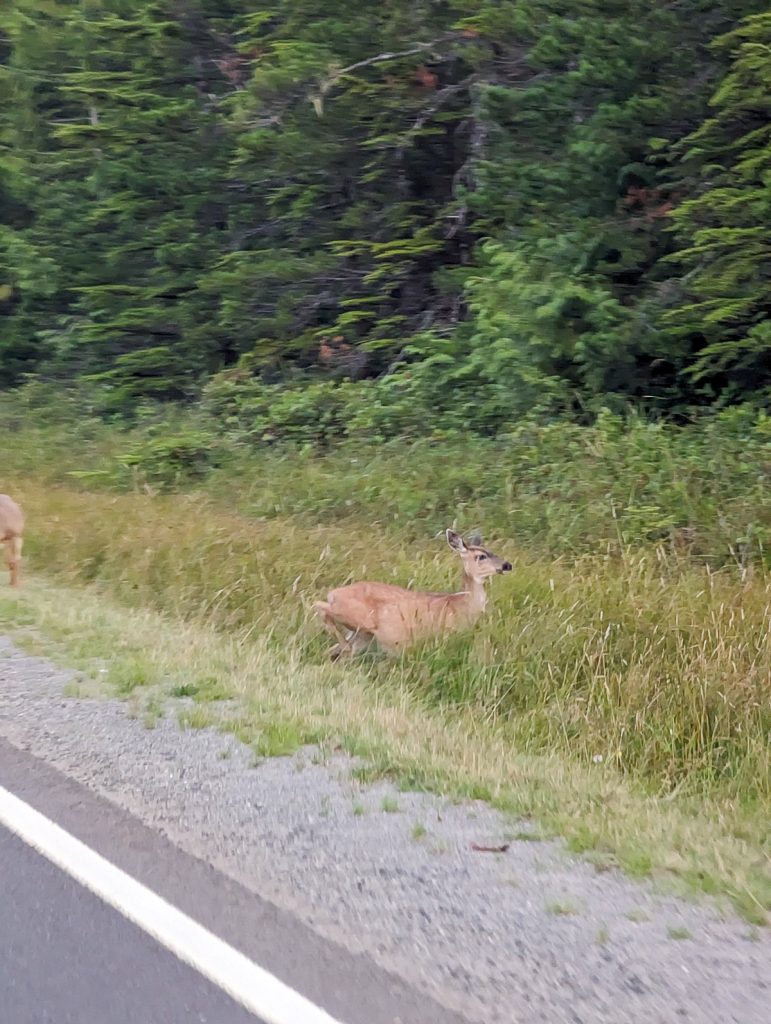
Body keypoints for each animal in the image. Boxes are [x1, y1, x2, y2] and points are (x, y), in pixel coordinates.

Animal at [314, 529, 512, 660]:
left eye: (492, 551)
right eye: (481, 556)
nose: (507, 565)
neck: (461, 605)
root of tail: (333, 593)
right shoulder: (447, 633)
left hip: (361, 634)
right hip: (357, 618)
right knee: (319, 606)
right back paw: (343, 647)